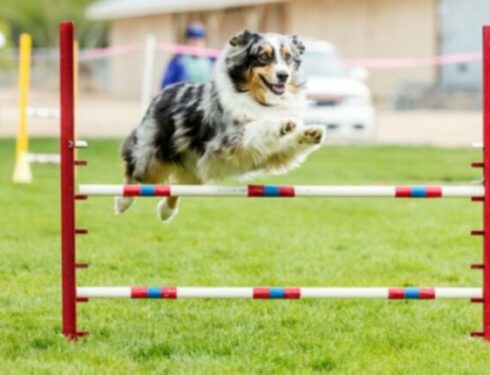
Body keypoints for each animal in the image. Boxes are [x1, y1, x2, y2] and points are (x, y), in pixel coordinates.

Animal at [116, 30, 326, 222]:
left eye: (287, 57)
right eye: (263, 56)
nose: (283, 75)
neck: (260, 99)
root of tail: (164, 92)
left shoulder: (272, 155)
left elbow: (287, 145)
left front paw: (309, 133)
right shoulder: (229, 139)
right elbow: (257, 126)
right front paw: (281, 124)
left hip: (195, 170)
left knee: (175, 185)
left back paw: (166, 211)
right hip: (150, 155)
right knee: (134, 173)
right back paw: (122, 202)